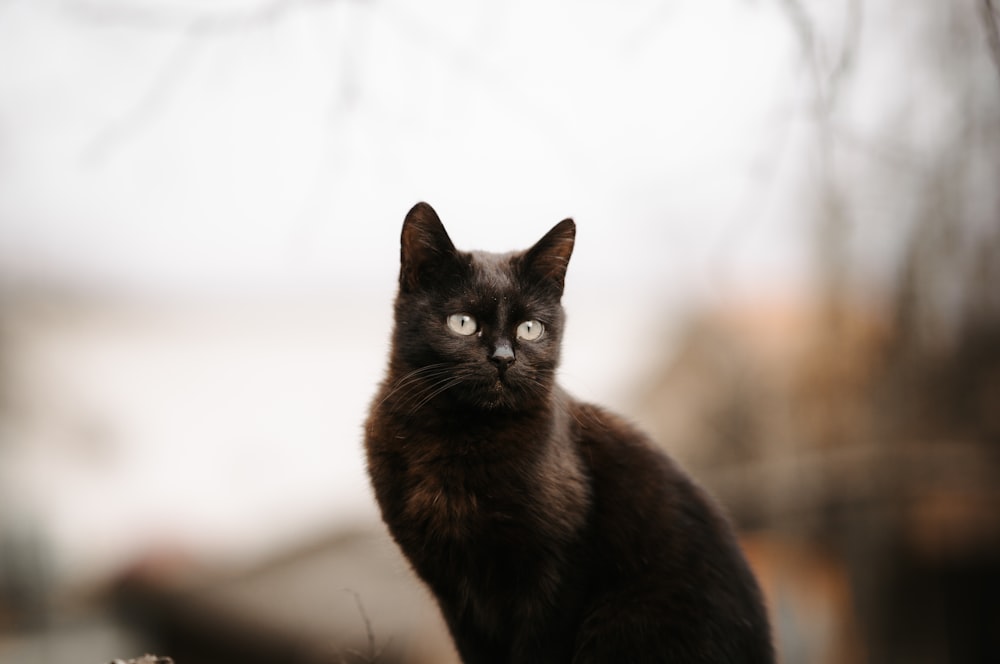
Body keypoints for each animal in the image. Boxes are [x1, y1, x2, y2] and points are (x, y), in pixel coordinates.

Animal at [366, 204, 772, 664]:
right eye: (463, 322)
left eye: (529, 328)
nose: (503, 358)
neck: (460, 439)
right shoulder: (453, 593)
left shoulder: (556, 577)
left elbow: (538, 648)